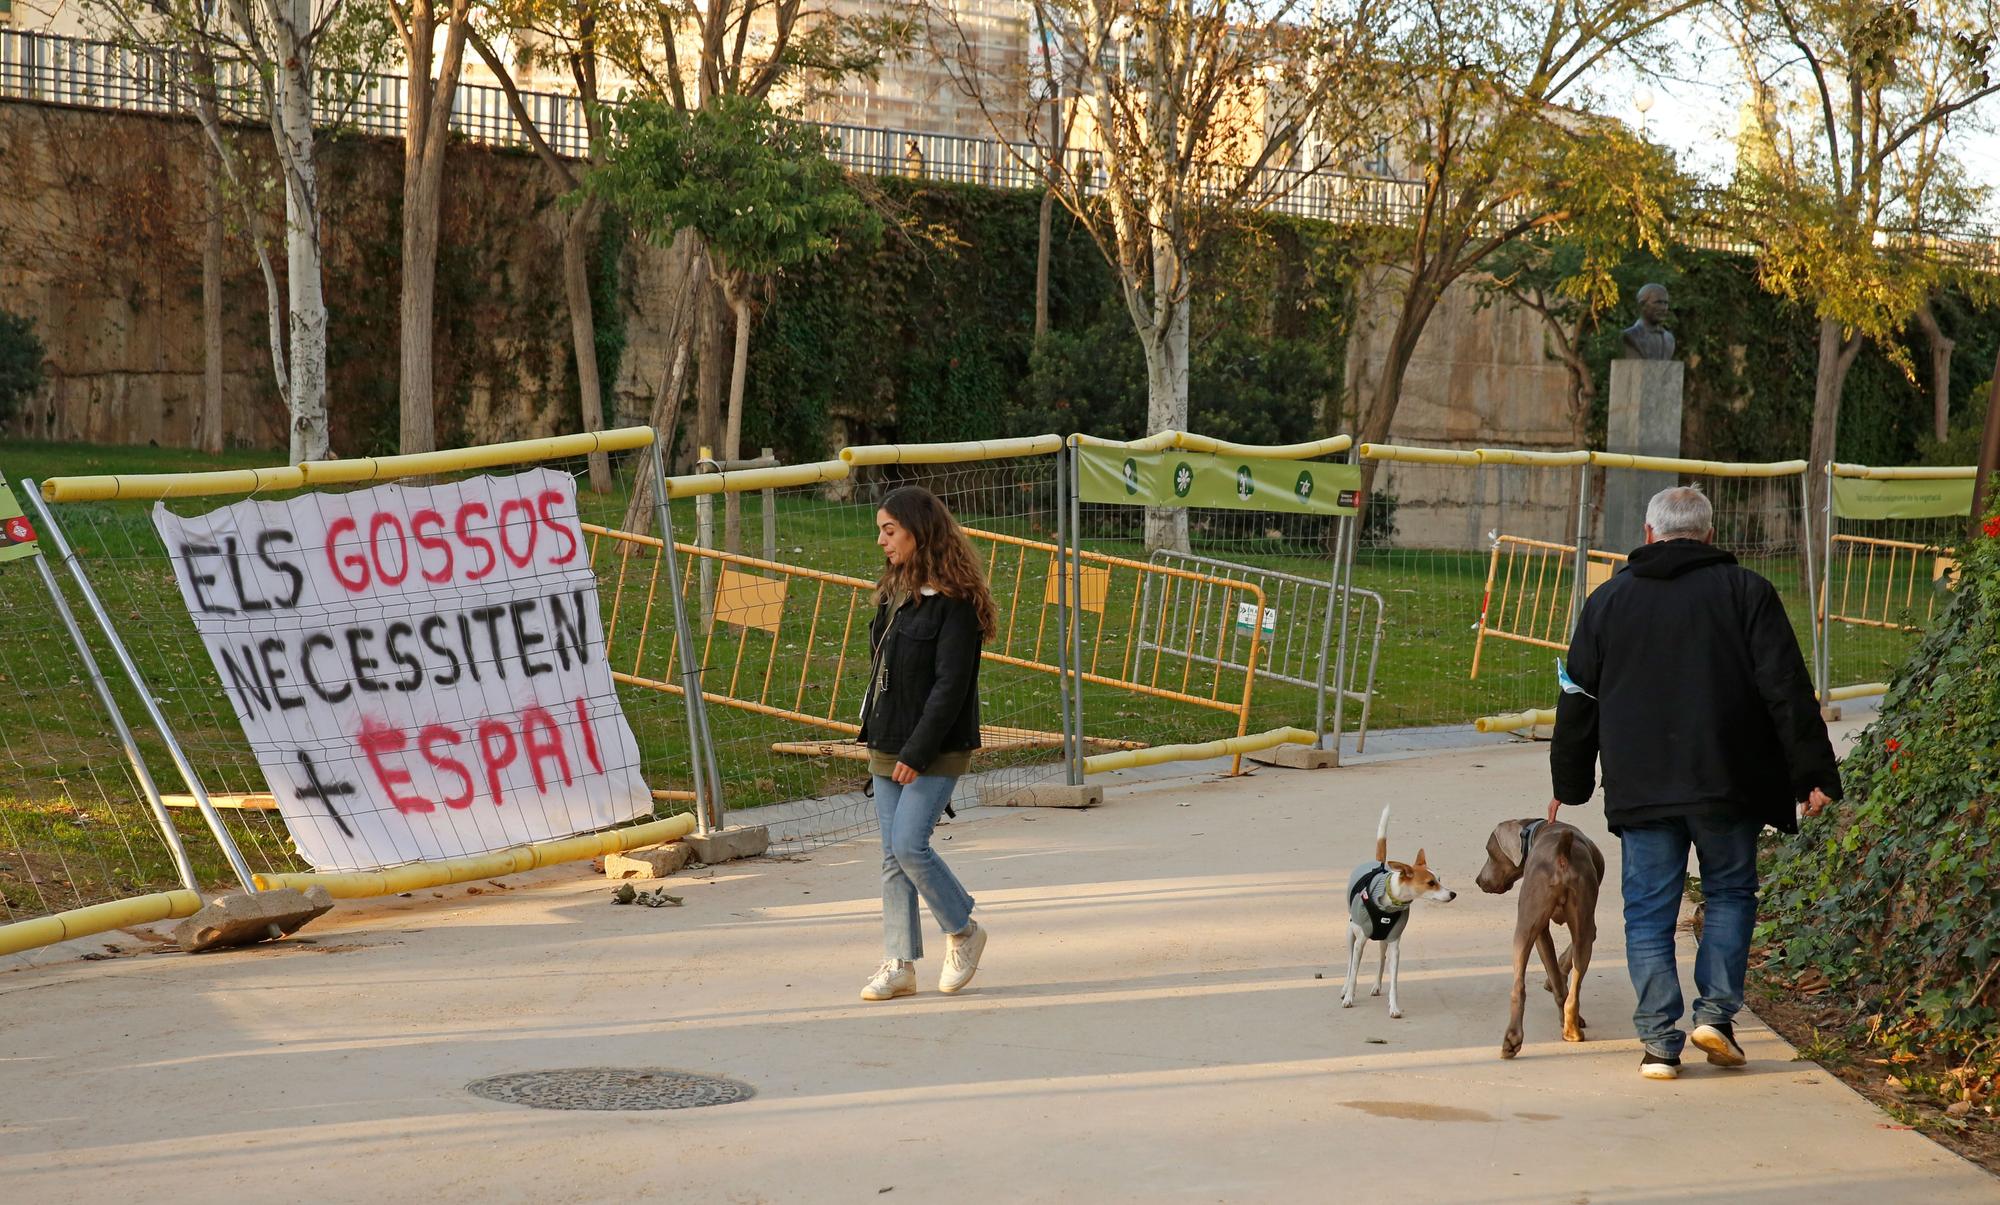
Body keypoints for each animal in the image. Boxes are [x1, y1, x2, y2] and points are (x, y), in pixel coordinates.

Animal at [1344, 808, 1456, 1012]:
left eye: (1439, 879)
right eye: (1431, 883)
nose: (1453, 894)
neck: (1389, 900)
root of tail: (1377, 863)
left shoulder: (1395, 944)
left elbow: (1394, 981)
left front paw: (1394, 1007)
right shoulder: (1360, 943)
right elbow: (1354, 973)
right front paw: (1348, 997)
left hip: (1383, 940)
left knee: (1381, 959)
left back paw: (1376, 985)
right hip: (1351, 934)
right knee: (1349, 963)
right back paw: (1344, 989)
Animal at [1480, 816, 1616, 1048]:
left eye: (1489, 851)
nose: (1479, 881)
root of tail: (1562, 855)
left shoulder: (1541, 931)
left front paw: (1553, 980)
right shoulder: (1576, 927)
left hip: (1528, 924)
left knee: (1521, 985)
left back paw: (1515, 1039)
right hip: (1576, 921)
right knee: (1571, 988)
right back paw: (1569, 1028)